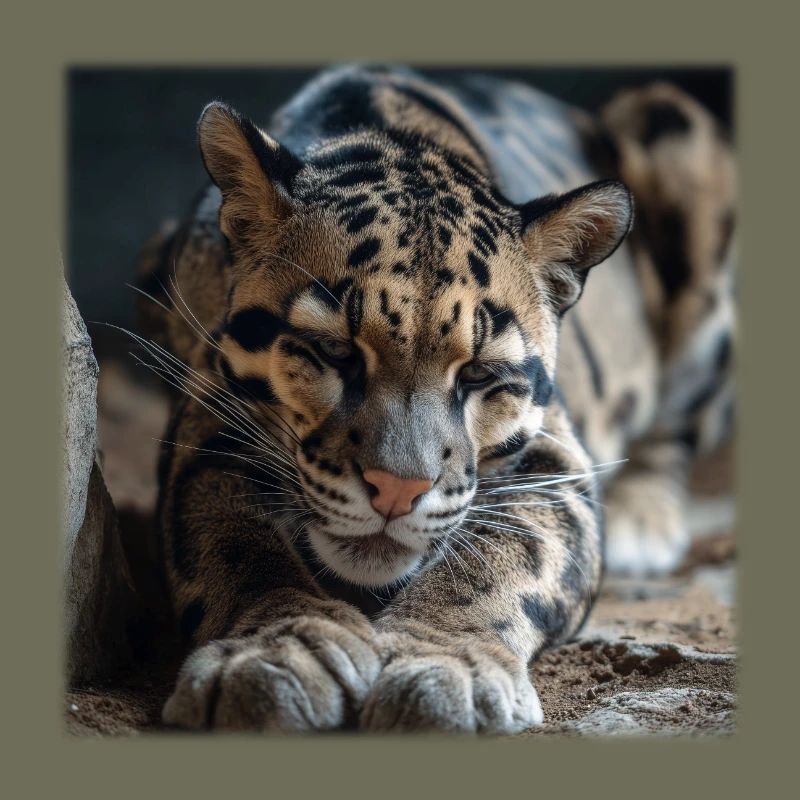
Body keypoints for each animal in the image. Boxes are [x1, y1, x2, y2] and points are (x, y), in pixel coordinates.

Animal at [134, 64, 736, 733]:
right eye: (335, 351)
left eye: (477, 374)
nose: (398, 491)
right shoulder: (207, 415)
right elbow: (231, 536)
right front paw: (276, 649)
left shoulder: (555, 452)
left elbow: (509, 549)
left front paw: (446, 662)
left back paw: (641, 519)